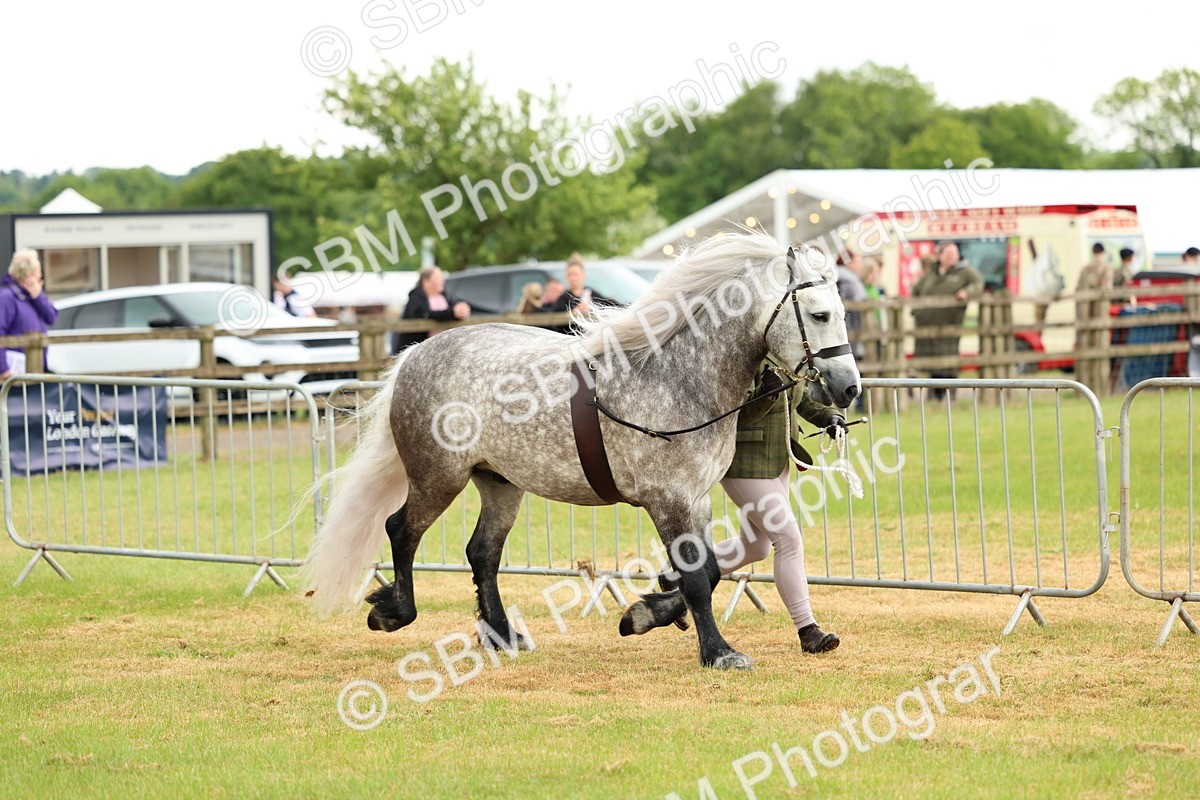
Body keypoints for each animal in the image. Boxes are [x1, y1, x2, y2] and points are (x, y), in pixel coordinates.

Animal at [304, 230, 861, 670]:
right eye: (819, 314)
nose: (848, 389)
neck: (673, 374)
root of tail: (418, 352)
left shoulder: (697, 498)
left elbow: (708, 569)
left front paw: (644, 615)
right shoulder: (669, 500)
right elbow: (698, 578)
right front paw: (718, 652)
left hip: (499, 483)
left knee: (482, 553)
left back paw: (502, 635)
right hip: (438, 478)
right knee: (401, 531)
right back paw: (393, 612)